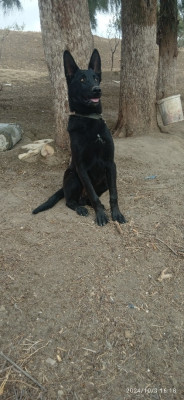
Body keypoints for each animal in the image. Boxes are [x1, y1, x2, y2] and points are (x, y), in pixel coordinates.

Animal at [32, 48, 126, 227]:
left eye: (96, 78)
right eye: (82, 79)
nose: (97, 89)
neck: (89, 119)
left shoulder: (111, 164)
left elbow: (114, 194)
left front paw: (116, 213)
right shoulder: (81, 167)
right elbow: (93, 195)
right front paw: (100, 215)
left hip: (104, 179)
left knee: (87, 198)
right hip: (73, 176)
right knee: (71, 201)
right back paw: (80, 208)